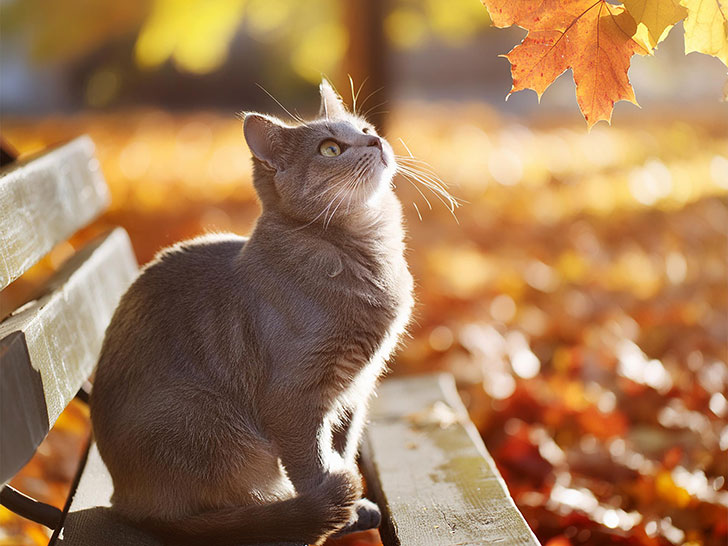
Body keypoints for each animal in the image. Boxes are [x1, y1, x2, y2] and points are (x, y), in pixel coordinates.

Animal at [88, 81, 412, 544]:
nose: (375, 141)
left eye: (364, 128)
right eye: (330, 149)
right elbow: (314, 464)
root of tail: (126, 502)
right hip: (203, 415)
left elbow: (342, 447)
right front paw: (337, 509)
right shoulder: (294, 398)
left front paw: (352, 506)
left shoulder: (356, 389)